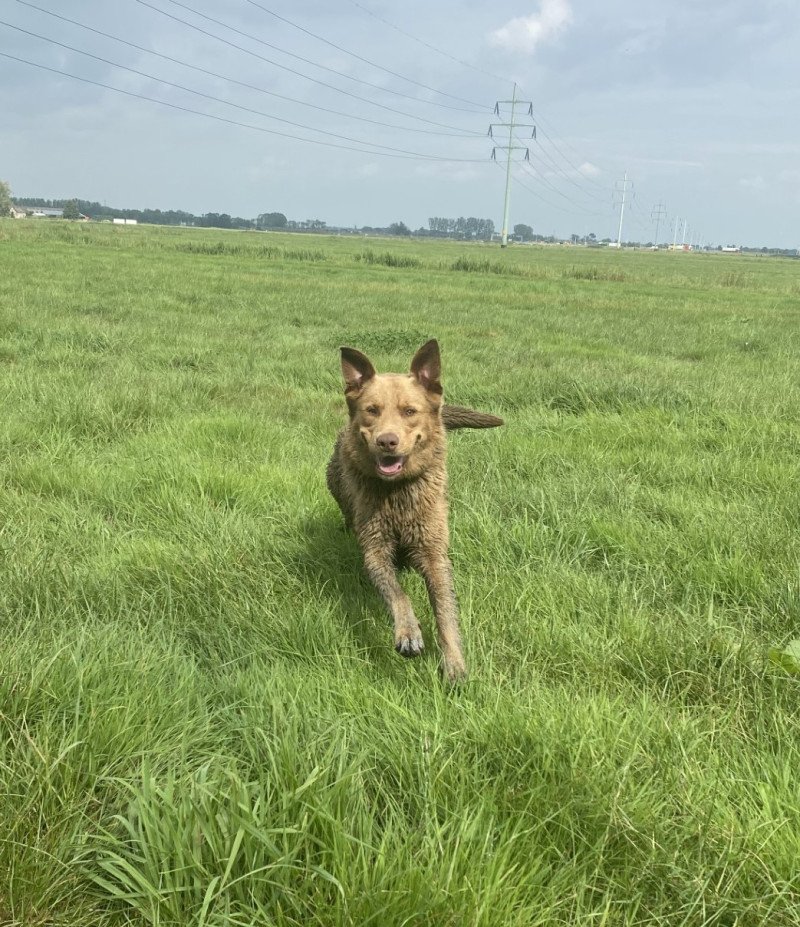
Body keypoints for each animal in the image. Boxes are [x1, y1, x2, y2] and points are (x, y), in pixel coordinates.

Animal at [324, 340, 500, 680]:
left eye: (409, 411)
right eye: (372, 410)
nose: (387, 441)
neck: (397, 494)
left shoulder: (433, 552)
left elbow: (444, 610)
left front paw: (454, 662)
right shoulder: (375, 549)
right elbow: (397, 593)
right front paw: (408, 633)